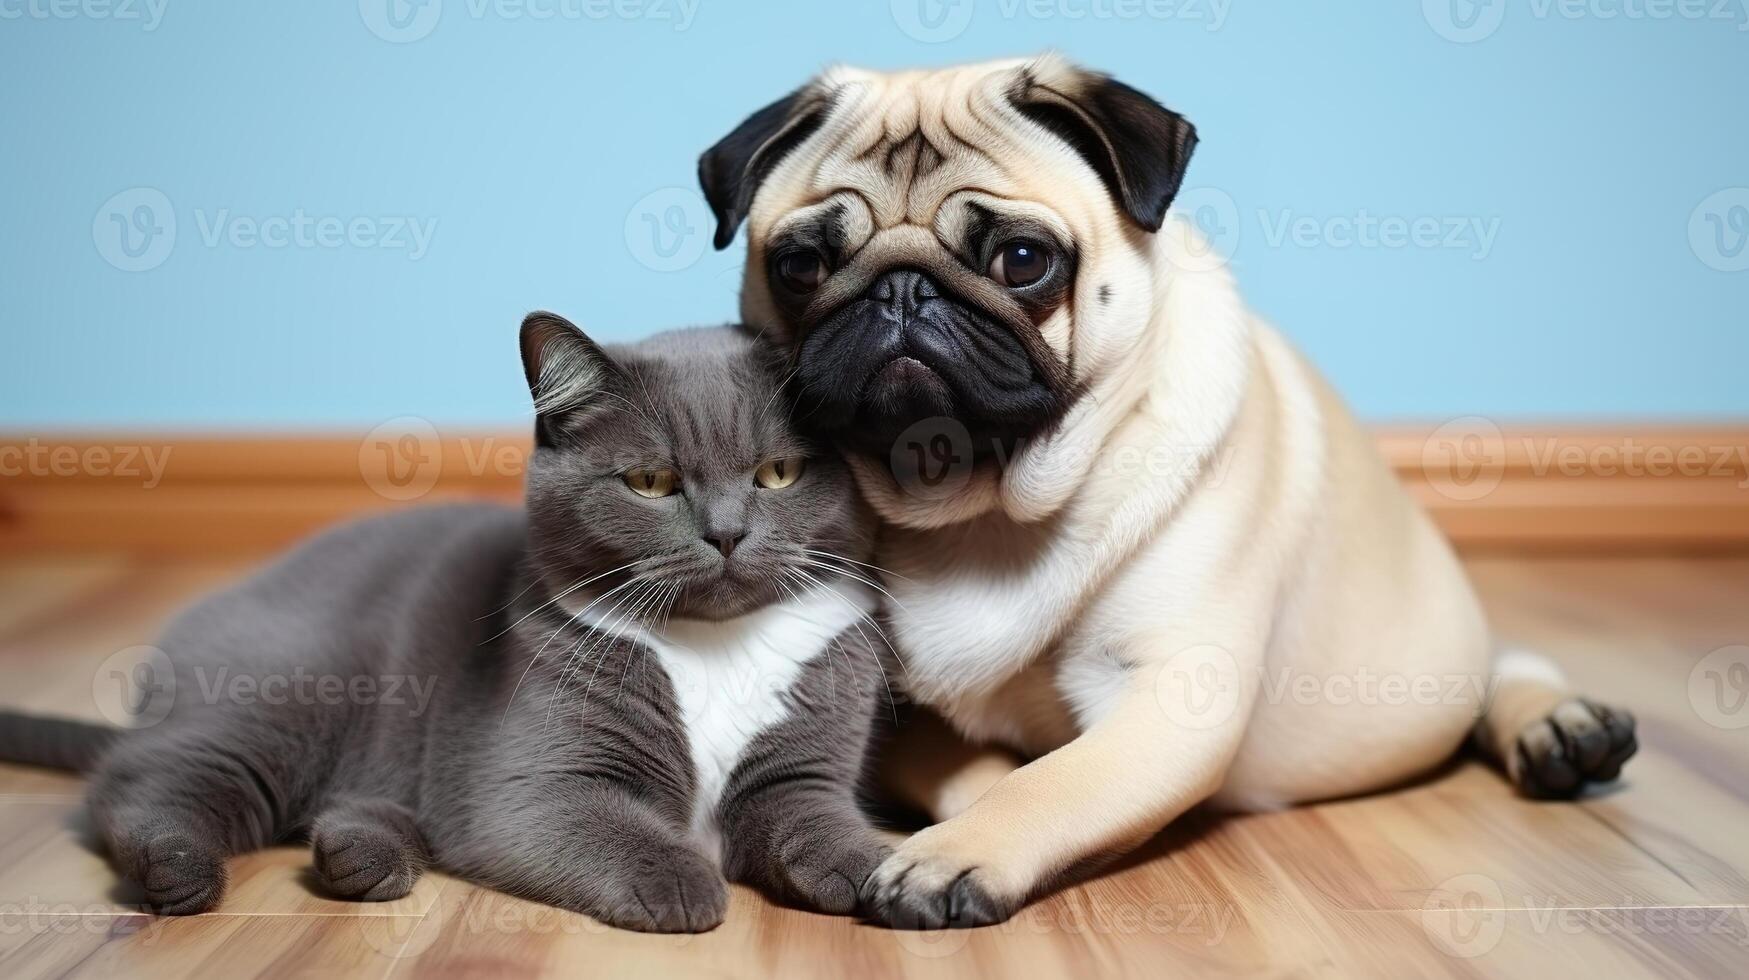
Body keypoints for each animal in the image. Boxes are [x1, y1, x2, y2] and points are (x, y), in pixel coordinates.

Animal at [0, 315, 895, 931]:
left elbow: (813, 814)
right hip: (284, 699)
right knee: (137, 777)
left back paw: (361, 854)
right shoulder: (536, 786)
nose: (726, 533)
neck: (714, 648)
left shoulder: (801, 768)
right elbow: (607, 826)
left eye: (778, 473)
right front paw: (681, 883)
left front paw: (878, 870)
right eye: (649, 482)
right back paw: (176, 871)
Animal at [692, 53, 1623, 924]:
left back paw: (1562, 728)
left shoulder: (1172, 692)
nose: (900, 290)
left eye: (1022, 260)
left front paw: (951, 854)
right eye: (801, 266)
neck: (974, 509)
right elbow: (985, 769)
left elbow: (1049, 781)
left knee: (1506, 665)